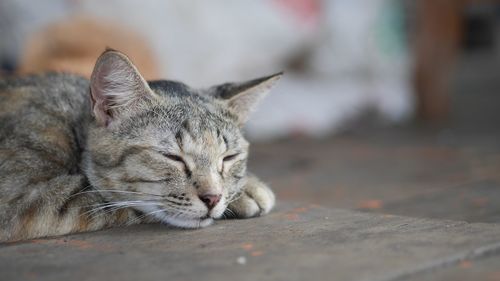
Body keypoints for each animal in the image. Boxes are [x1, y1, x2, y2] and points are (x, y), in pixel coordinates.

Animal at [0, 48, 282, 241]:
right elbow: (112, 198)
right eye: (172, 157)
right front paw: (248, 190)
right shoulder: (24, 198)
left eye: (229, 157)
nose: (213, 198)